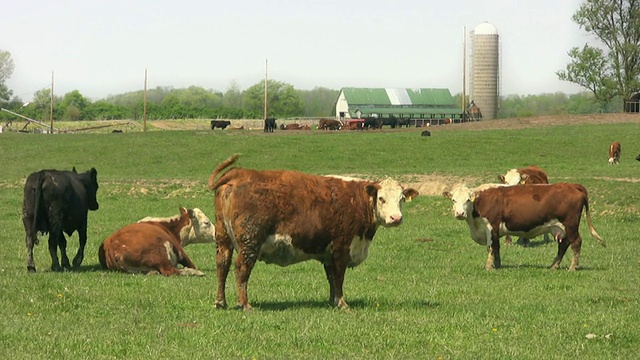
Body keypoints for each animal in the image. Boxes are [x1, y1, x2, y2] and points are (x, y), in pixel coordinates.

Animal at [206, 155, 420, 310]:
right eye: (381, 198)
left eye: (401, 199)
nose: (396, 218)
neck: (357, 201)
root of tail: (238, 173)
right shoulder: (341, 247)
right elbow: (339, 276)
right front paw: (342, 303)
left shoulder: (328, 253)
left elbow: (332, 277)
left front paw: (333, 301)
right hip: (250, 242)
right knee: (241, 268)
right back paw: (245, 304)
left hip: (223, 239)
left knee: (222, 265)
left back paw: (220, 302)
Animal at [442, 184, 608, 272]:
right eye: (453, 200)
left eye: (468, 200)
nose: (459, 213)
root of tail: (573, 185)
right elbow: (497, 248)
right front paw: (498, 264)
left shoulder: (491, 226)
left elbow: (491, 248)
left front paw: (489, 267)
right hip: (562, 228)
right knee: (564, 245)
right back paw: (553, 265)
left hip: (571, 225)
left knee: (576, 243)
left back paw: (573, 267)